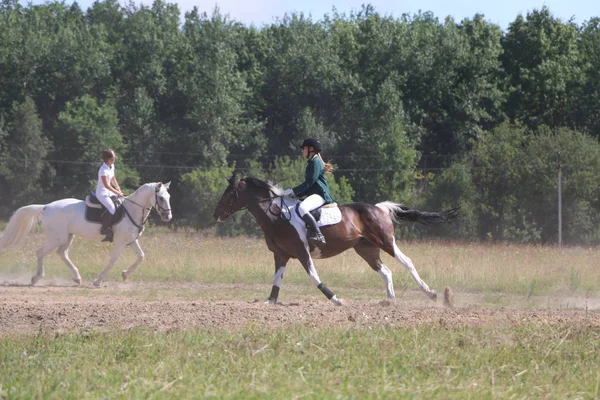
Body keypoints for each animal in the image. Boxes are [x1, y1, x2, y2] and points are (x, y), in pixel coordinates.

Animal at [0, 181, 173, 288]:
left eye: (169, 197)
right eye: (161, 198)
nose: (168, 217)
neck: (132, 210)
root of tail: (46, 206)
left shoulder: (131, 240)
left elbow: (141, 256)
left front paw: (125, 274)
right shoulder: (119, 242)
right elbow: (112, 261)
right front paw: (98, 281)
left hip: (68, 236)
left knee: (62, 253)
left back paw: (77, 278)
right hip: (57, 237)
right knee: (41, 252)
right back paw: (36, 278)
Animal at [213, 176, 458, 306]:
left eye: (229, 193)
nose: (216, 214)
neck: (276, 216)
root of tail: (379, 208)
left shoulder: (302, 252)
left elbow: (314, 277)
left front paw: (335, 299)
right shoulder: (281, 255)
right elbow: (276, 280)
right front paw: (269, 302)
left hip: (386, 242)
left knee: (407, 262)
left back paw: (430, 293)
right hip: (366, 249)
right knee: (386, 271)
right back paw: (389, 301)